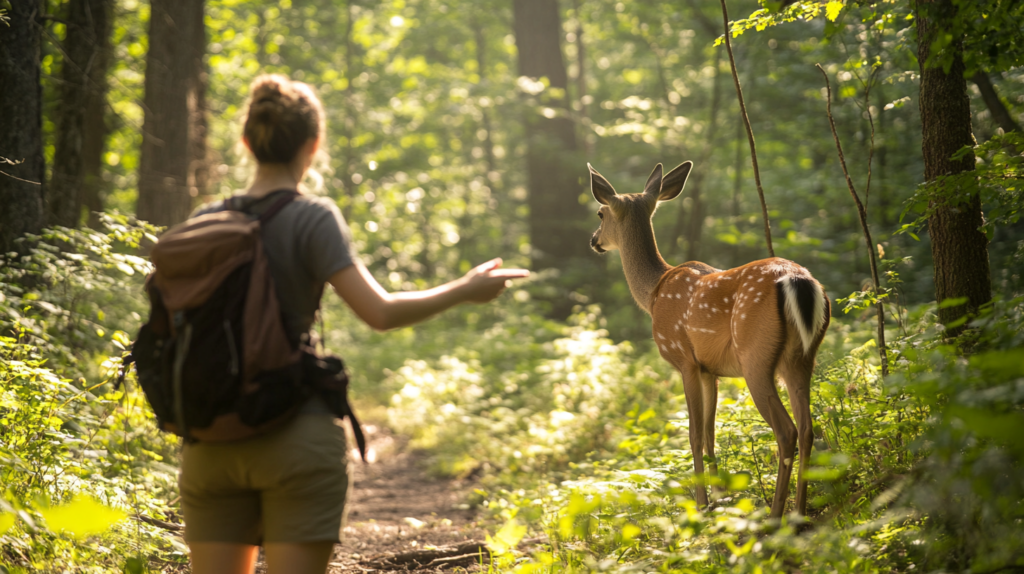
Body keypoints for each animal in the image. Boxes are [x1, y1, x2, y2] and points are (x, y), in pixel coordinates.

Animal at [593, 161, 831, 519]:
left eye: (600, 213)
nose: (594, 240)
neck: (654, 293)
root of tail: (799, 280)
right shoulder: (711, 370)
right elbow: (710, 433)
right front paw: (722, 498)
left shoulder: (685, 359)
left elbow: (692, 434)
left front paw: (701, 504)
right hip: (803, 356)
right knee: (807, 428)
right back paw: (799, 512)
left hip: (756, 356)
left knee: (786, 430)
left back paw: (776, 515)